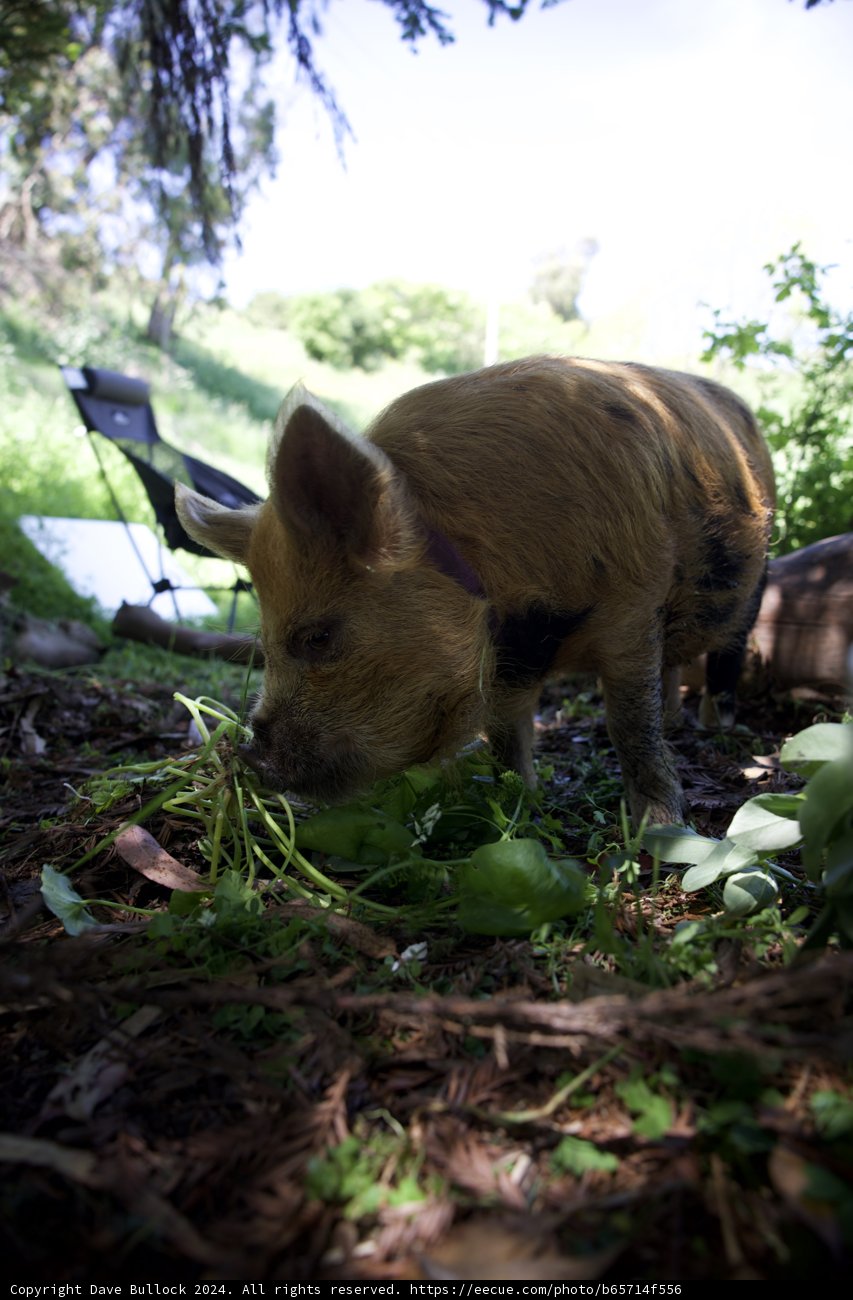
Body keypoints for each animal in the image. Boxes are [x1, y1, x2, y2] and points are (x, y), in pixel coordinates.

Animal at [175, 356, 775, 826]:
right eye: (263, 640)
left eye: (318, 637)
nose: (247, 755)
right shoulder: (512, 653)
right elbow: (508, 728)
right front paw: (518, 804)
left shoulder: (634, 603)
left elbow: (629, 722)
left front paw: (659, 828)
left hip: (759, 573)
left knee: (724, 655)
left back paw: (716, 727)